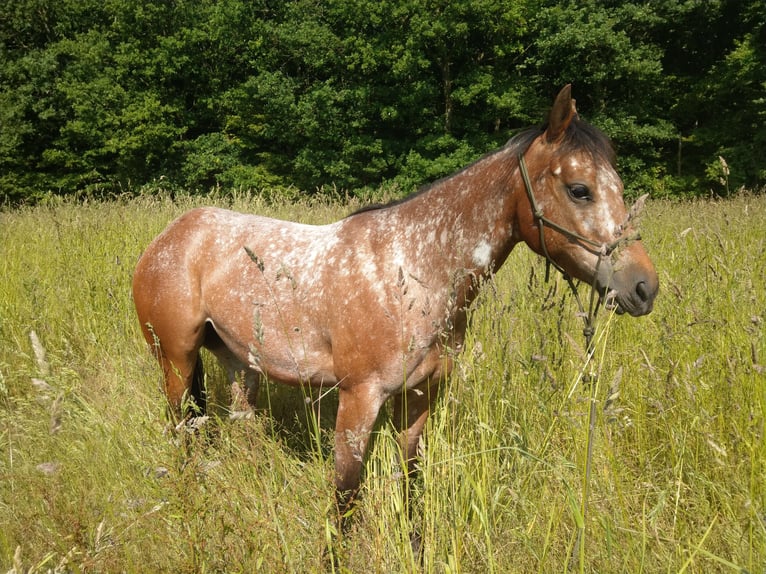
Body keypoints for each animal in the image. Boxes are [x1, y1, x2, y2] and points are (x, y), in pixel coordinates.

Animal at [132, 85, 660, 512]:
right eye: (579, 189)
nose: (643, 287)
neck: (412, 271)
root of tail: (167, 237)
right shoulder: (359, 400)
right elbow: (346, 498)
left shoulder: (418, 399)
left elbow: (411, 483)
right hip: (176, 362)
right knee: (181, 432)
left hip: (242, 364)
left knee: (242, 429)